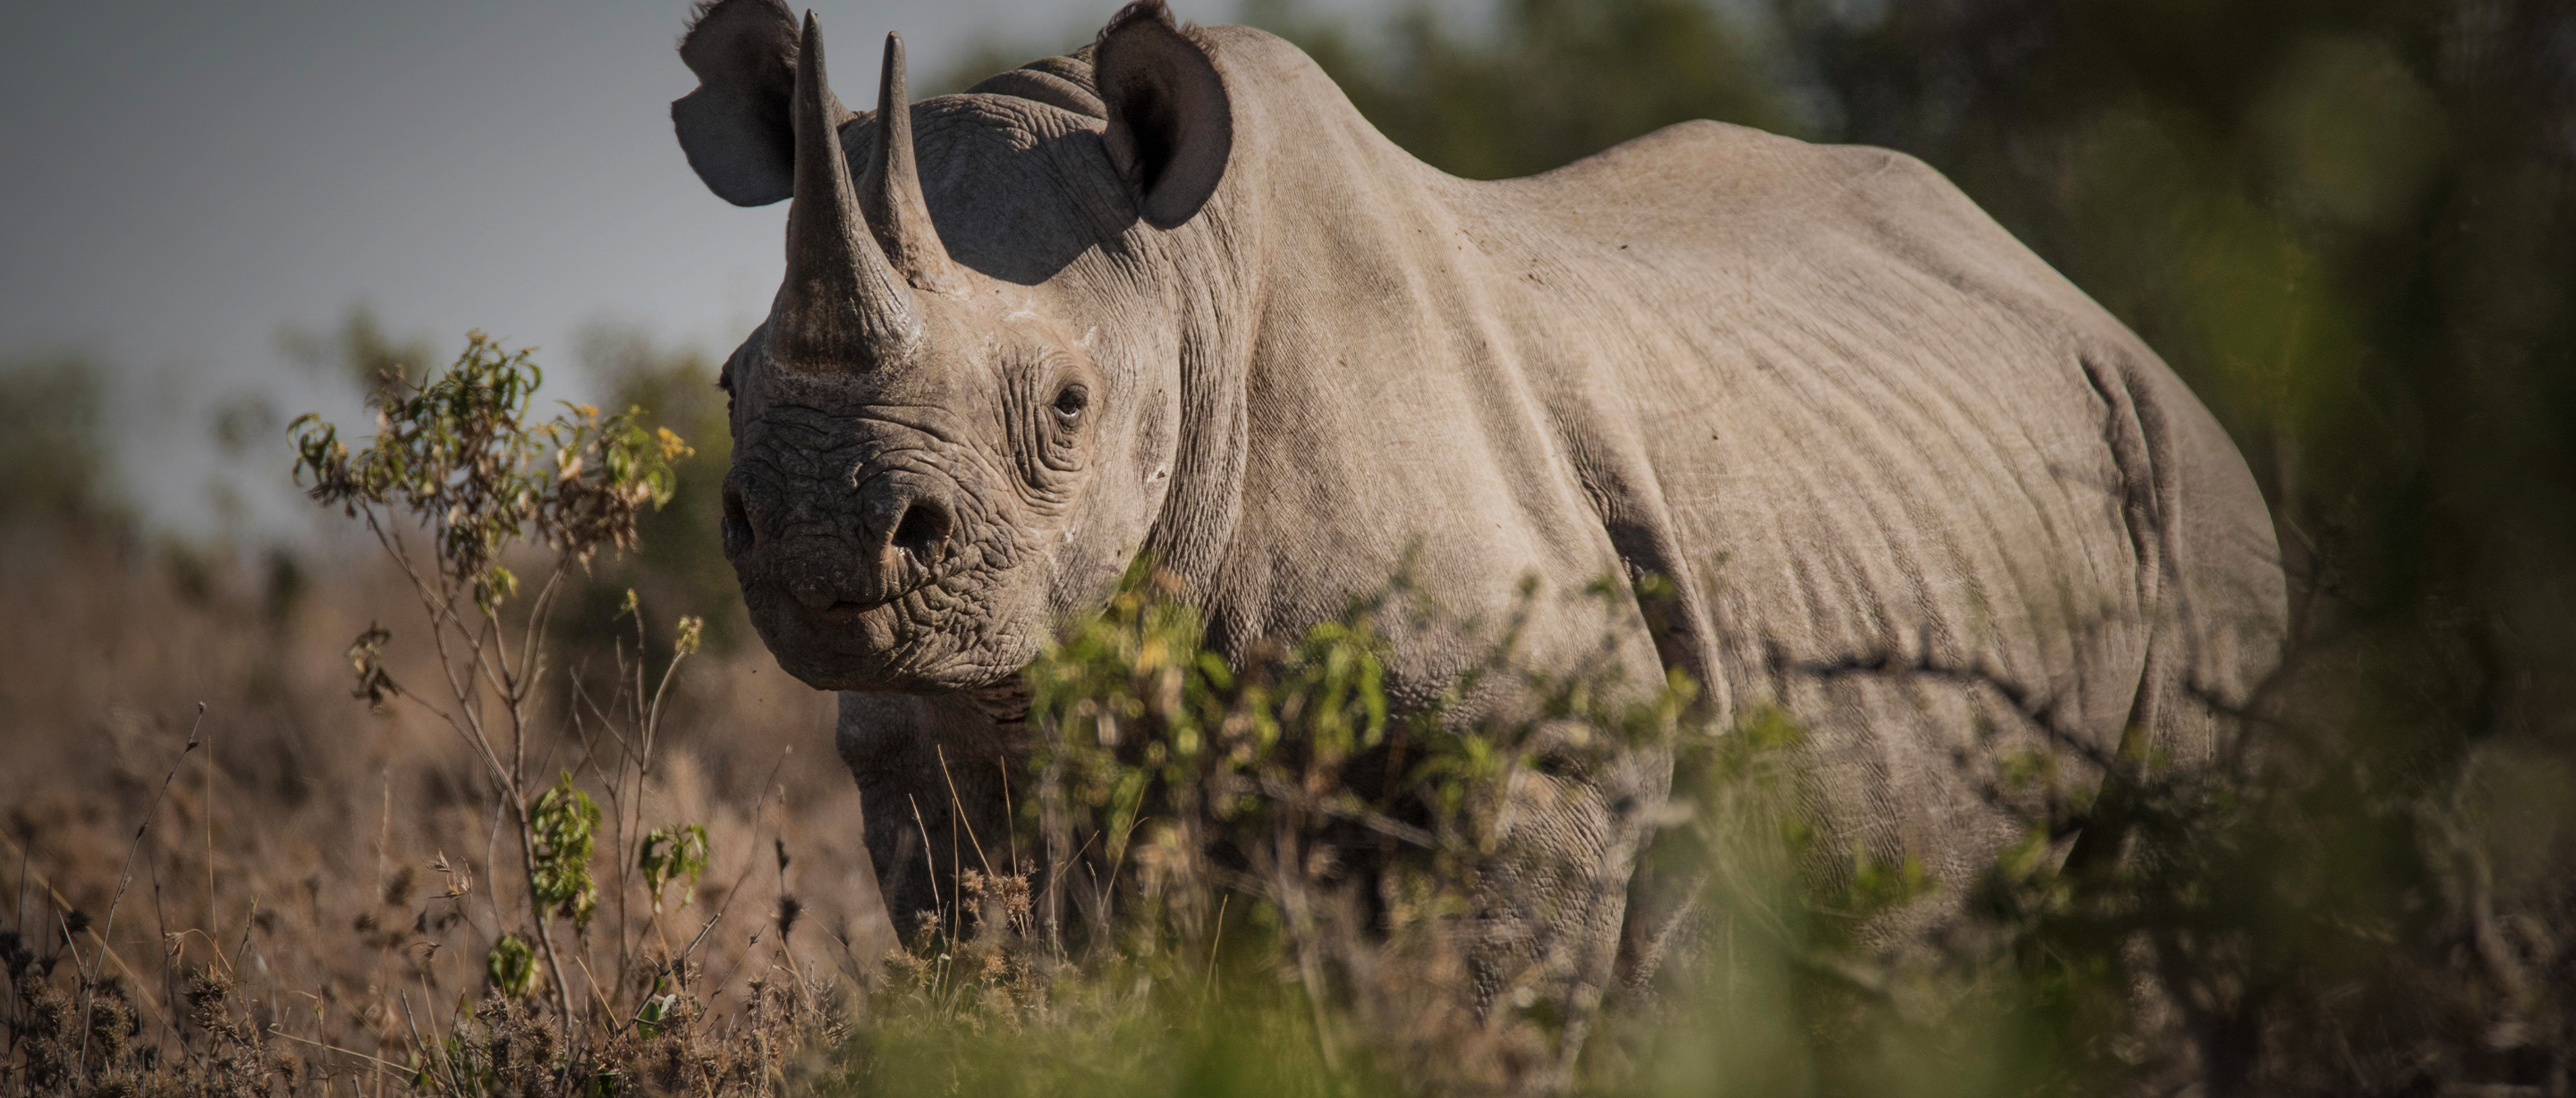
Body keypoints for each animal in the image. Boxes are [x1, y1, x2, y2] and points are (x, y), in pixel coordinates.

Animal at [670, 0, 2284, 1035]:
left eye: (1066, 409)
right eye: (734, 381)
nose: (826, 541)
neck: (1189, 293)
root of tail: (2115, 329)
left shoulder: (1541, 744)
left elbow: (1477, 1017)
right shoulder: (933, 751)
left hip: (2197, 500)